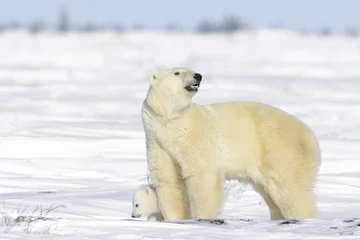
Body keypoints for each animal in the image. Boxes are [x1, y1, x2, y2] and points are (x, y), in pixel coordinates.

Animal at [140, 67, 320, 221]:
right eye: (177, 72)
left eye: (190, 69)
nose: (198, 76)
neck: (172, 122)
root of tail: (310, 136)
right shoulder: (157, 139)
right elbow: (168, 179)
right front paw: (176, 219)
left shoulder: (195, 135)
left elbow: (202, 176)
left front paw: (201, 217)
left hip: (280, 151)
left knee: (290, 191)